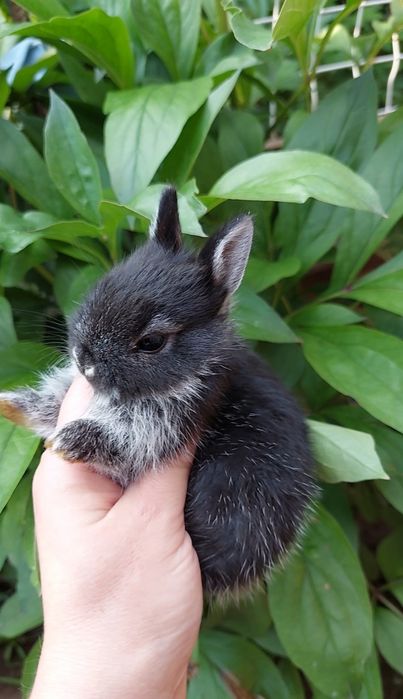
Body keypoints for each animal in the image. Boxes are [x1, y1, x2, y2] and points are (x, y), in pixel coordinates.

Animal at [0, 187, 316, 598]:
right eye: (102, 286)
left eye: (151, 342)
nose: (83, 359)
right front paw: (10, 405)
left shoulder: (169, 421)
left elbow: (124, 442)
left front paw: (70, 441)